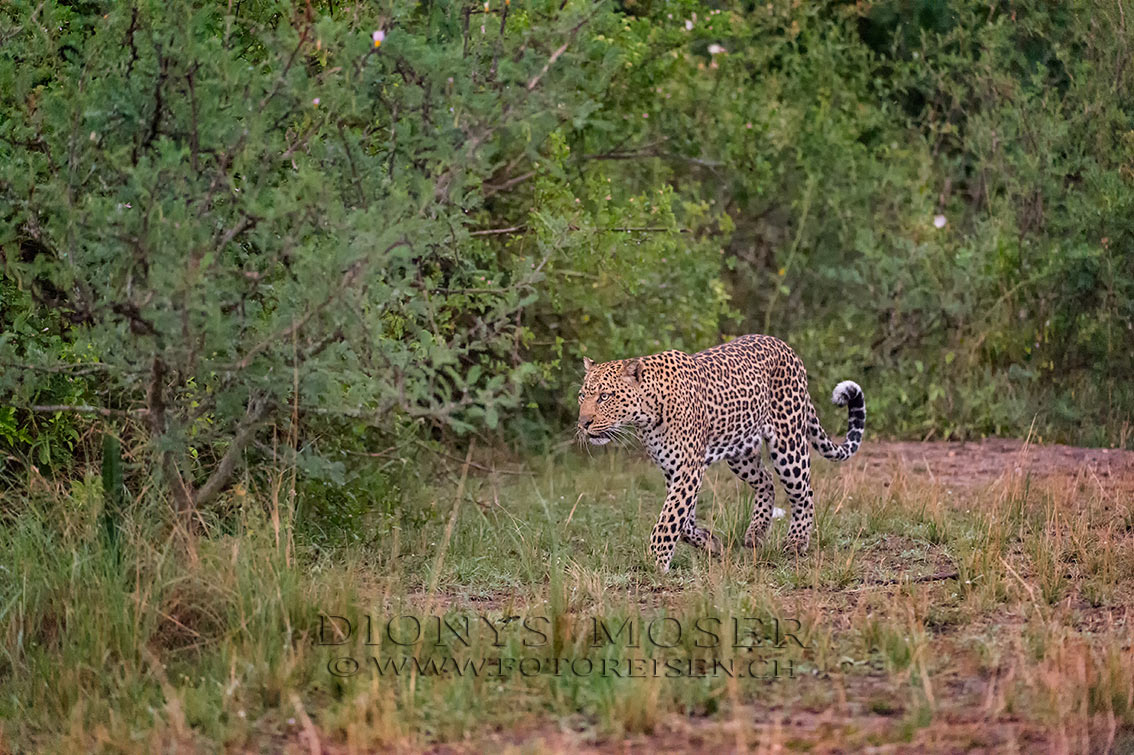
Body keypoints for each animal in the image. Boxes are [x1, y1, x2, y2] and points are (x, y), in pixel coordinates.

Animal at [580, 333, 861, 566]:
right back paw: (756, 533)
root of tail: (786, 346)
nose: (583, 423)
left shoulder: (688, 470)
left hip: (787, 443)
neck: (647, 414)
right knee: (767, 481)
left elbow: (669, 519)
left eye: (605, 396)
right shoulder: (672, 470)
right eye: (582, 396)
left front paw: (655, 563)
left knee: (803, 492)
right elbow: (683, 521)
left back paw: (796, 542)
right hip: (740, 452)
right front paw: (710, 543)